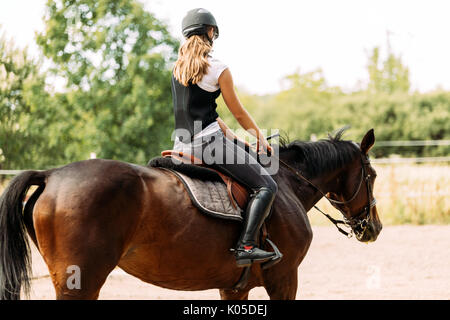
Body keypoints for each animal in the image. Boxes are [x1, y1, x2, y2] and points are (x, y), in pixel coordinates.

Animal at [0, 128, 382, 300]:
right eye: (373, 175)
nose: (373, 228)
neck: (287, 183)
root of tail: (51, 175)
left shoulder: (234, 286)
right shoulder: (285, 278)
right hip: (79, 283)